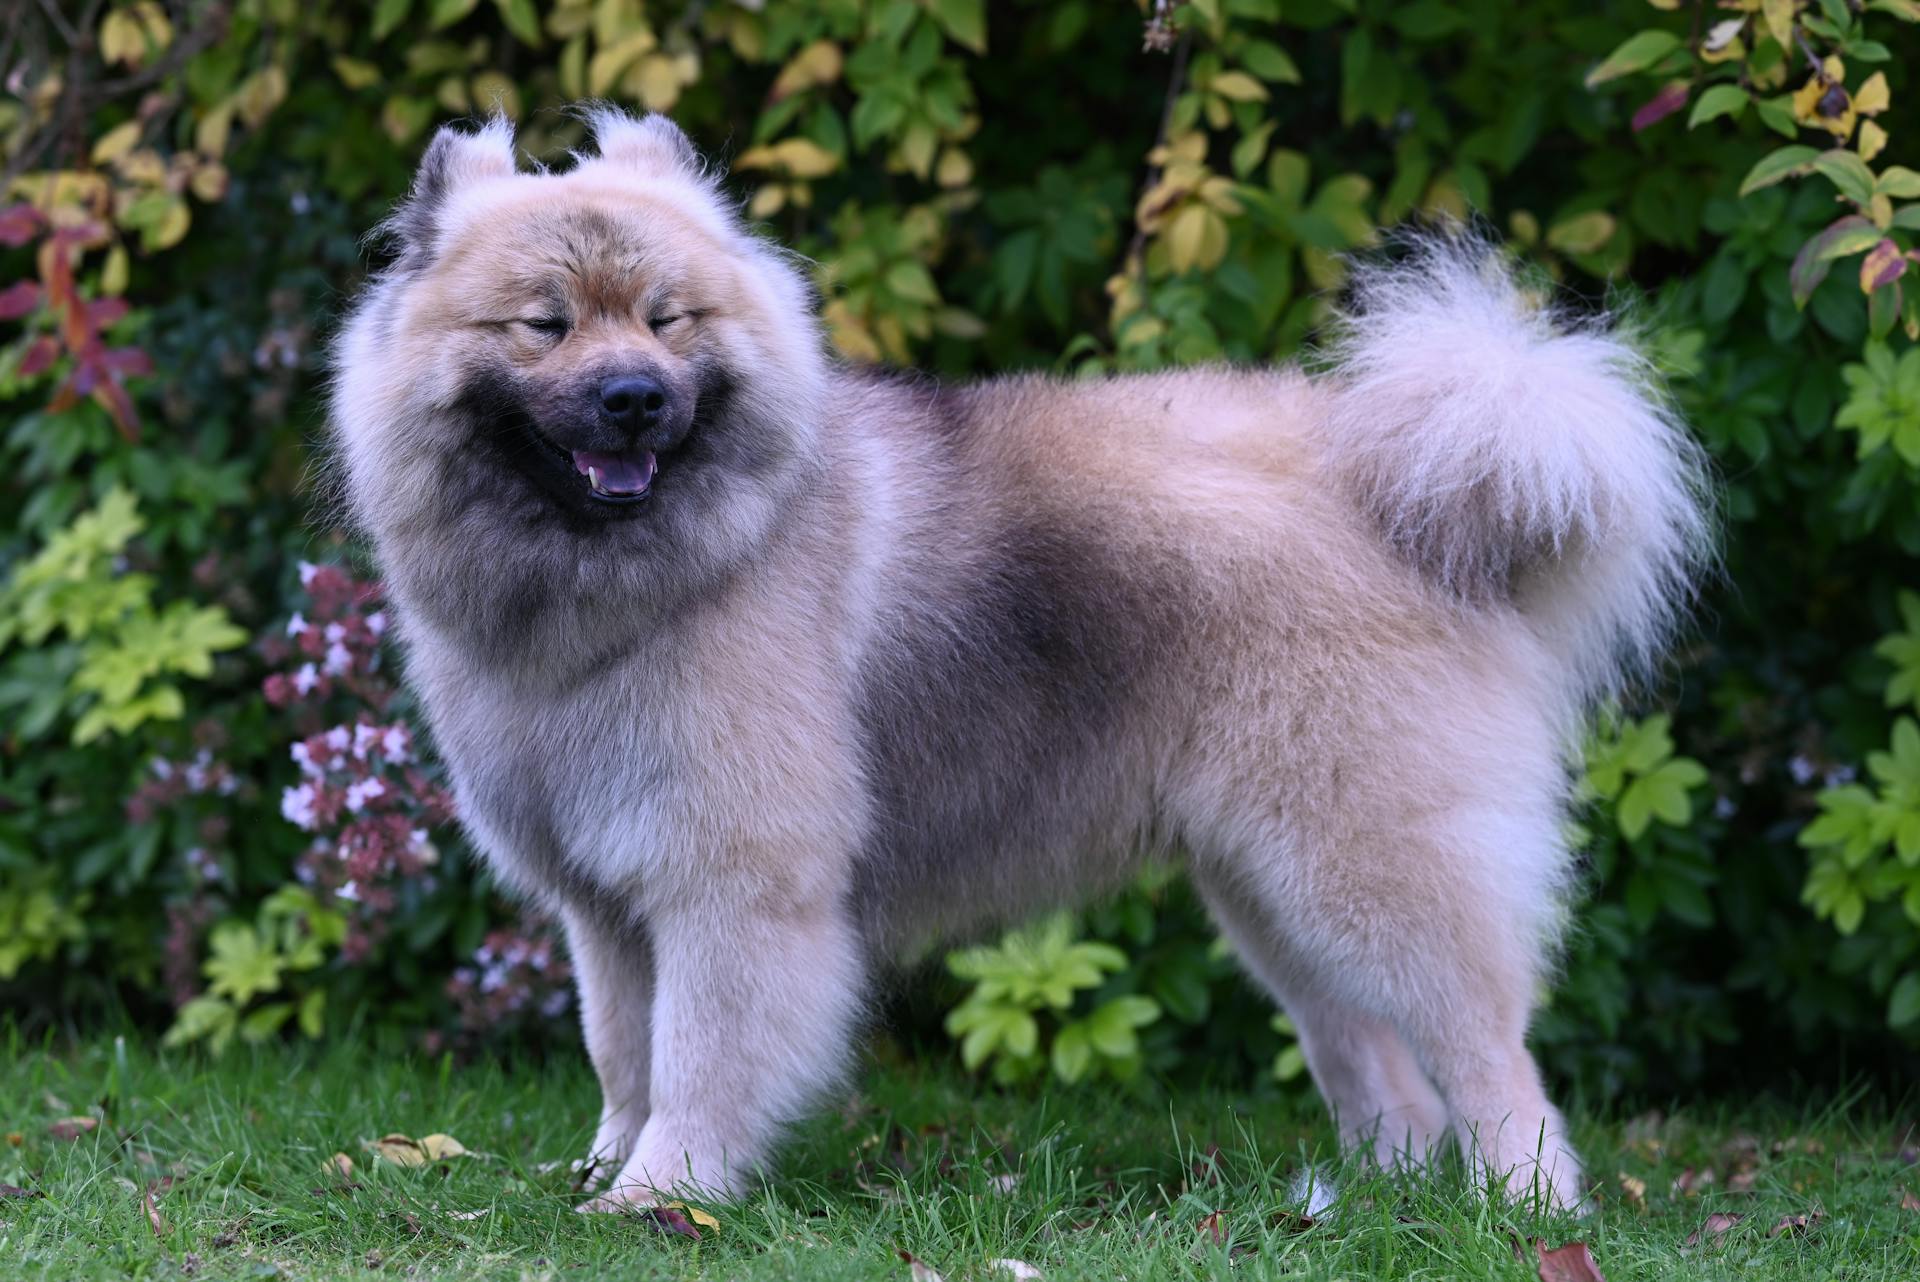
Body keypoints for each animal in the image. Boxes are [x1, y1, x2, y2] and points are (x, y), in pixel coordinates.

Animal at [330, 107, 1712, 1212]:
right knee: (1374, 1059)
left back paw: (1527, 1204)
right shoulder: (607, 905)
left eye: (669, 321)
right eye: (545, 324)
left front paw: (662, 1194)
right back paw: (1380, 1196)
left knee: (1489, 1049)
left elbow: (700, 1058)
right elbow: (624, 1053)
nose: (633, 399)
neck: (624, 584)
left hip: (1365, 857)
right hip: (1270, 885)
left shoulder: (729, 882)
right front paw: (606, 1167)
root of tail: (1406, 495)